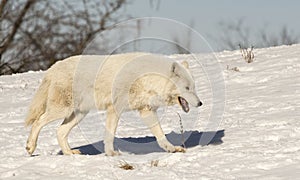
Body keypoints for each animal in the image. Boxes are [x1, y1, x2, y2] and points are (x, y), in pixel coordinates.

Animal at [24, 52, 200, 155]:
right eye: (187, 88)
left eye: (194, 87)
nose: (200, 103)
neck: (147, 78)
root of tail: (54, 67)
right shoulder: (114, 109)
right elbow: (109, 135)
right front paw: (111, 154)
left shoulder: (147, 110)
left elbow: (160, 135)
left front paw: (172, 149)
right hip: (62, 111)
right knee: (38, 122)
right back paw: (30, 147)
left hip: (78, 114)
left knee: (60, 132)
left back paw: (69, 153)